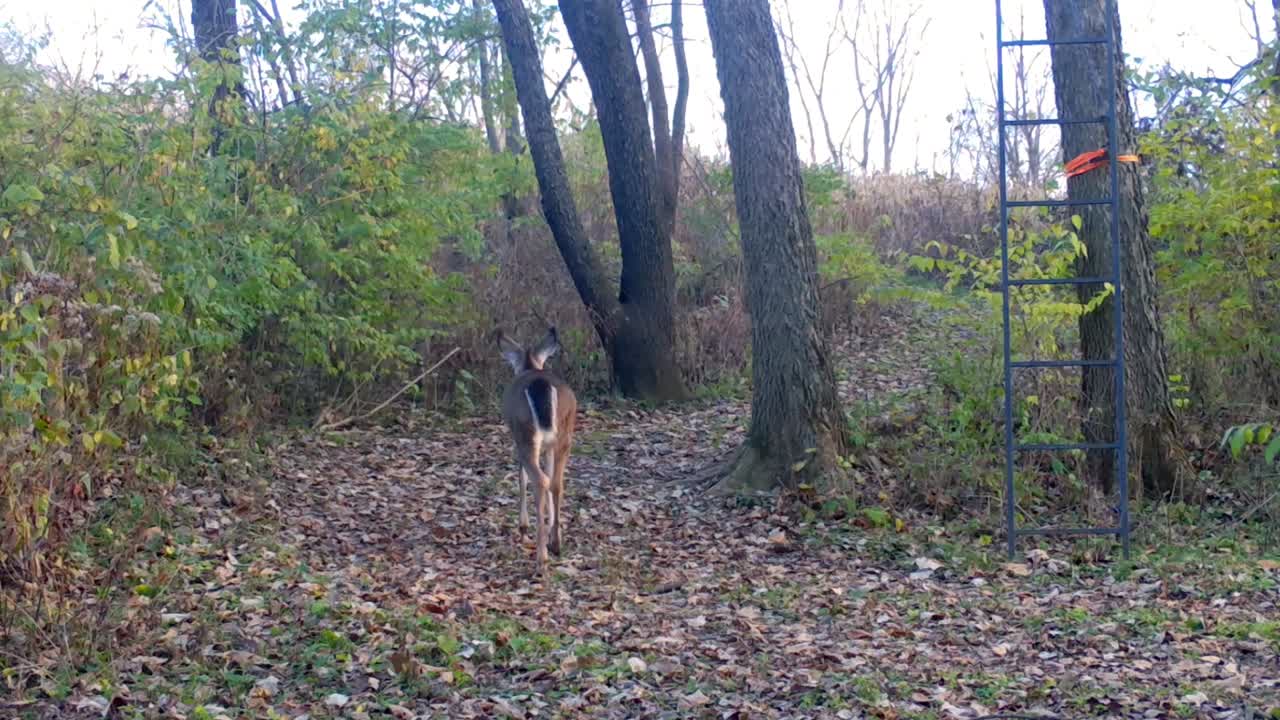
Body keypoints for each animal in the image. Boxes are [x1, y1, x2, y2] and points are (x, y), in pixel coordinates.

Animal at [497, 327, 577, 572]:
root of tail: (539, 383)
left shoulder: (515, 438)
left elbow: (521, 477)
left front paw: (522, 528)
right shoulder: (549, 446)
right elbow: (551, 477)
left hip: (525, 433)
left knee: (540, 480)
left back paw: (541, 557)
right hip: (565, 433)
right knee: (556, 482)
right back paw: (556, 543)